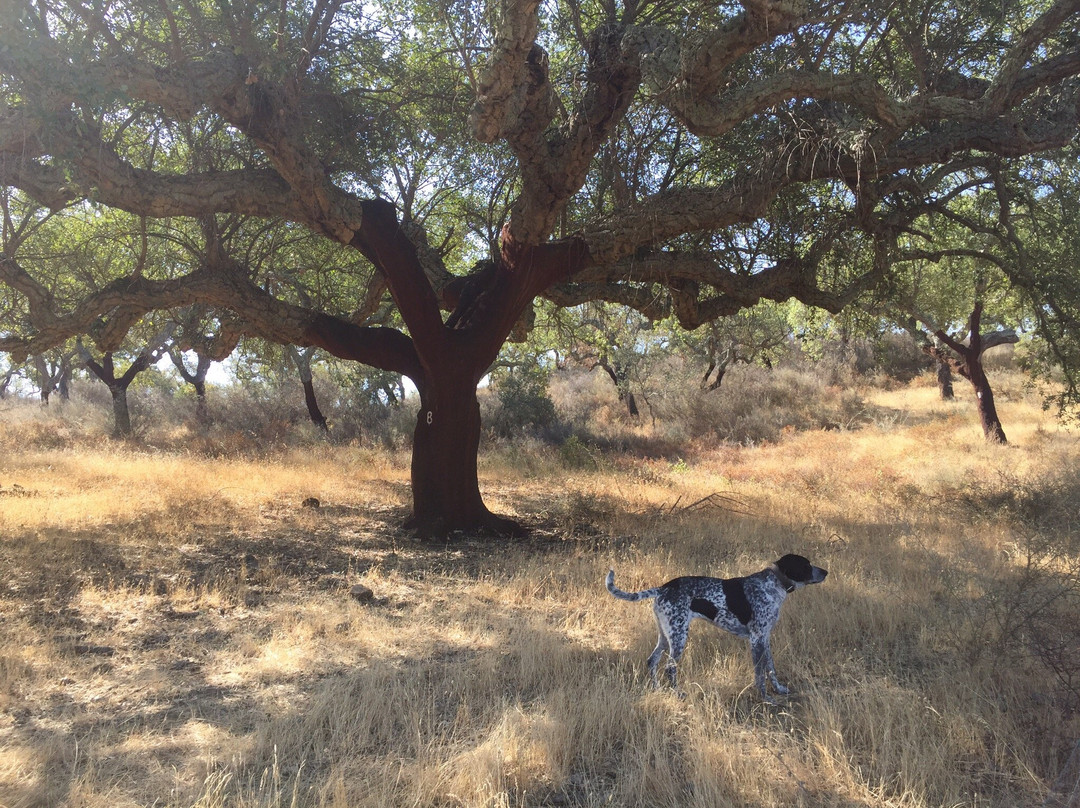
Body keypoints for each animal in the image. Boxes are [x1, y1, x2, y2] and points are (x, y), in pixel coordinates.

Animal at [609, 557, 825, 699]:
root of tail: (663, 588)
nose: (826, 572)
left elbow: (771, 669)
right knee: (670, 667)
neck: (773, 585)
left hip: (665, 636)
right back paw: (677, 693)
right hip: (678, 636)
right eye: (806, 565)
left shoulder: (765, 638)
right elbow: (760, 675)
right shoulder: (756, 639)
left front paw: (779, 689)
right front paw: (765, 698)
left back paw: (658, 690)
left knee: (652, 661)